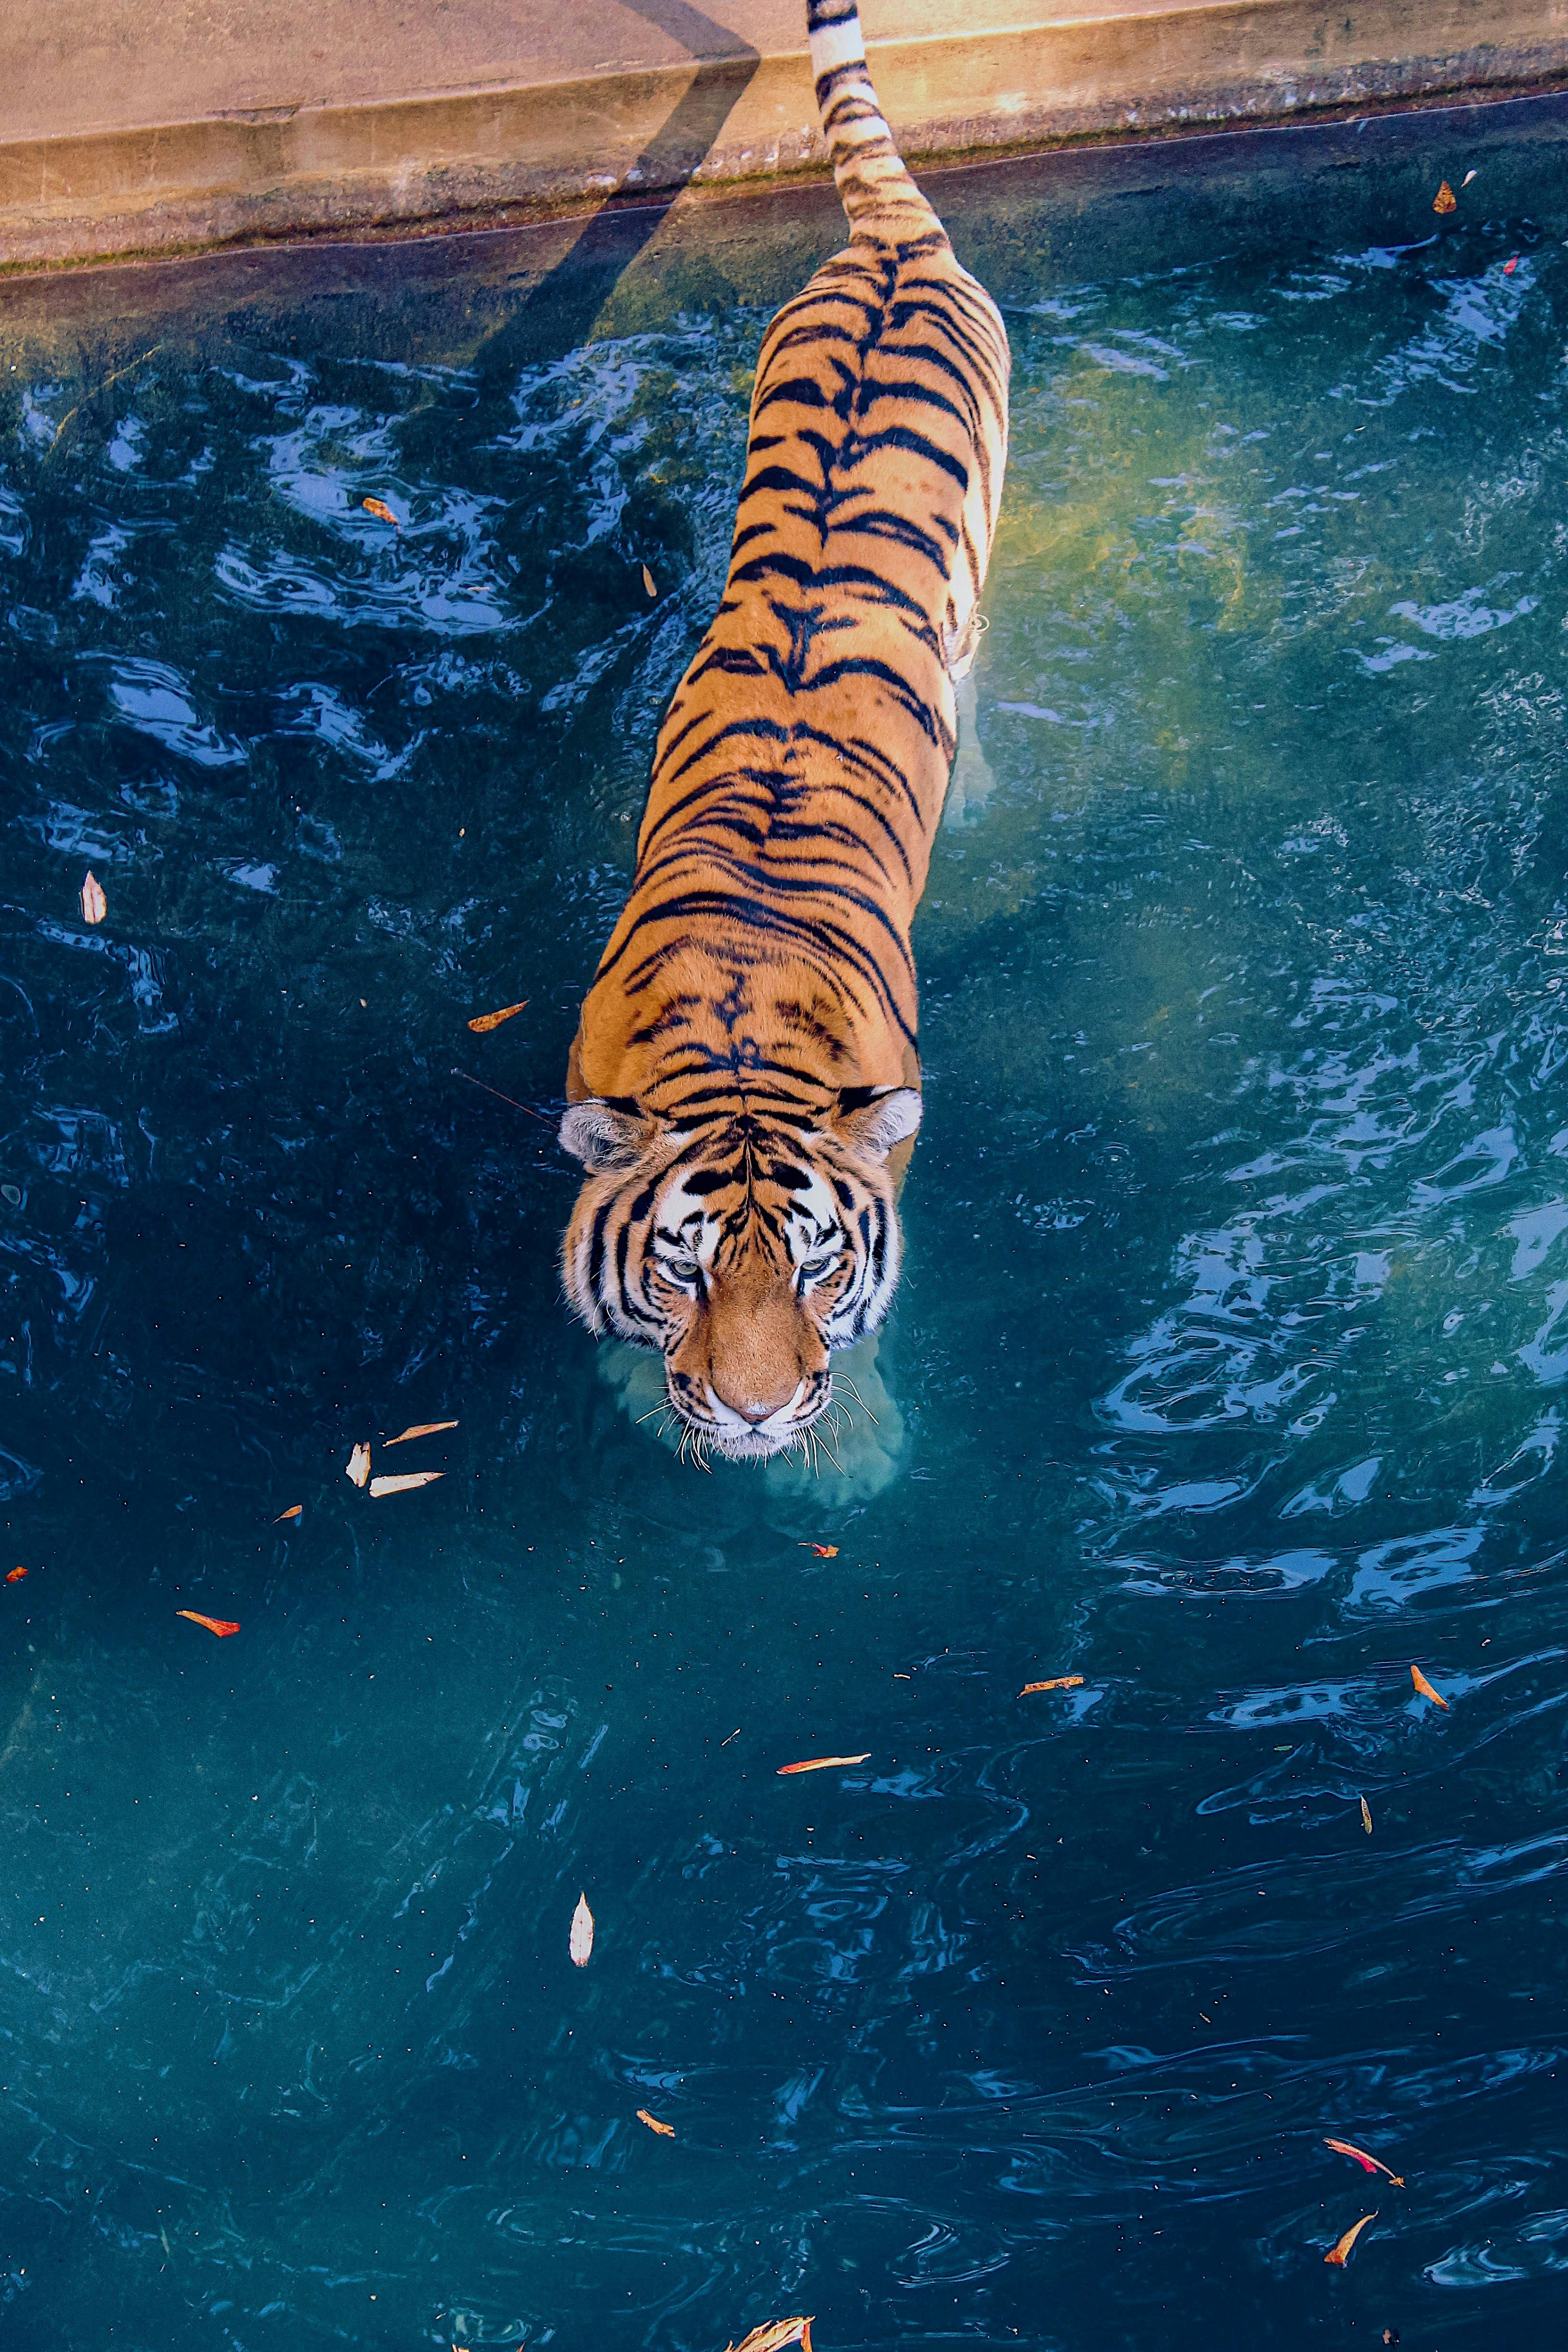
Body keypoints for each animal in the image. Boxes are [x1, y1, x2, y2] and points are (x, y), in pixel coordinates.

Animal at [559, 0, 1010, 1463]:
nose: (754, 1411)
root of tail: (894, 247)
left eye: (819, 1266)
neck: (739, 1048)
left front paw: (852, 1450)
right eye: (681, 1269)